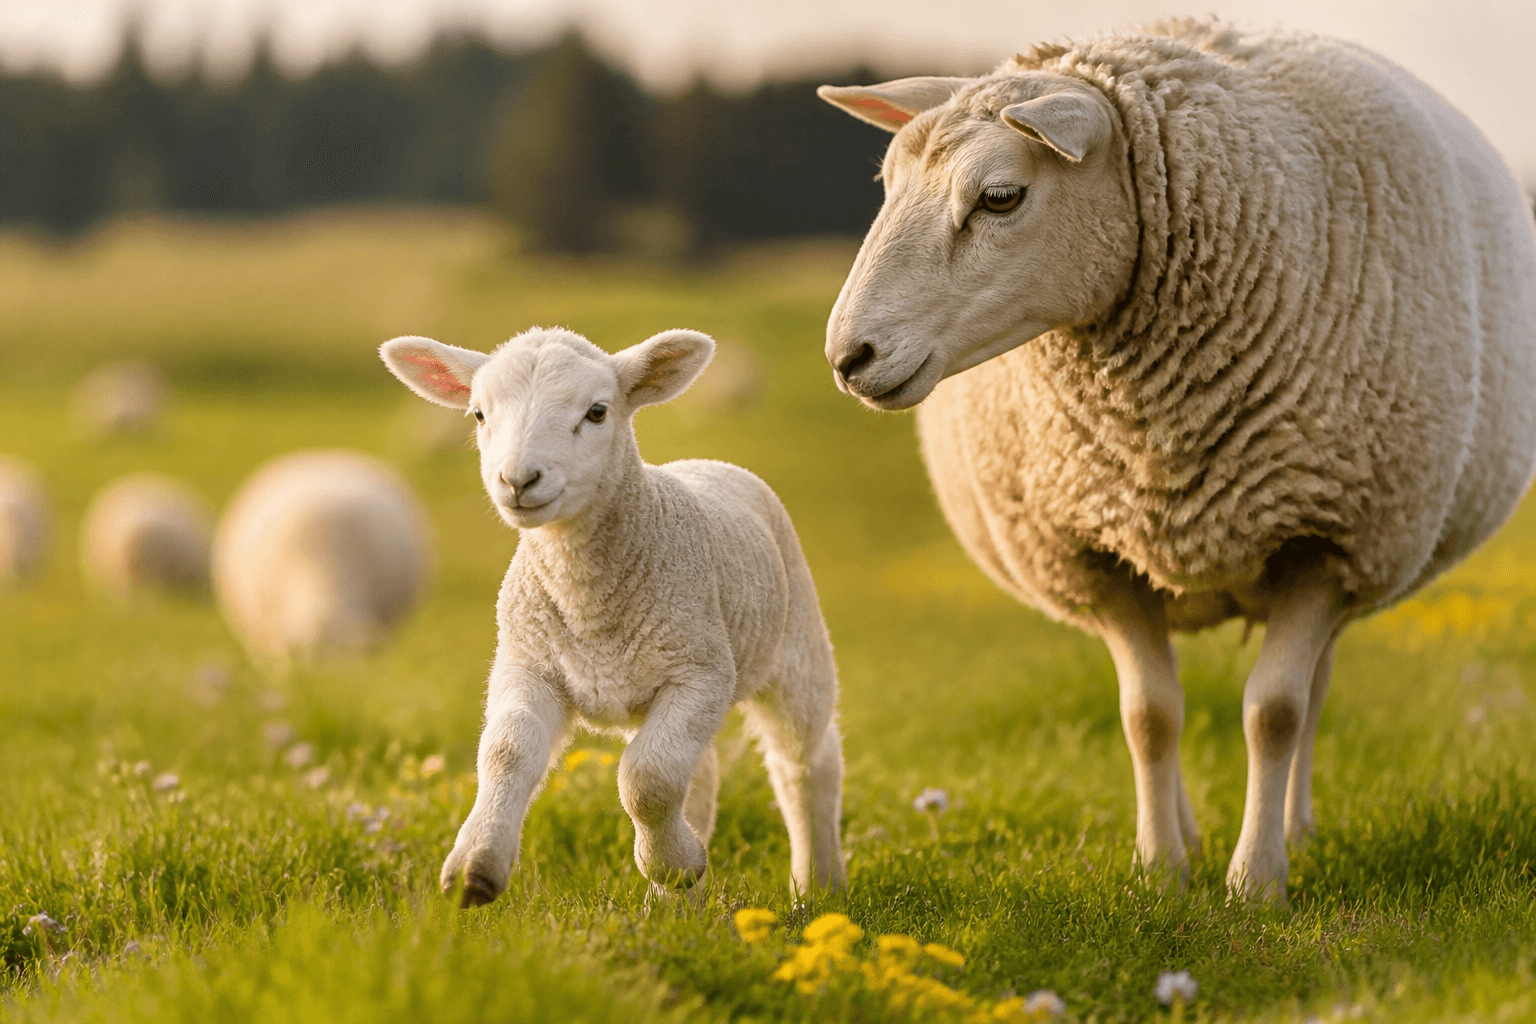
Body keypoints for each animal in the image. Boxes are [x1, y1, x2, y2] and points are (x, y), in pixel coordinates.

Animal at [380, 327, 845, 907]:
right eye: (479, 415)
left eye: (597, 412)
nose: (518, 480)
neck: (588, 604)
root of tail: (704, 463)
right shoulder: (528, 662)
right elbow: (507, 753)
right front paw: (476, 867)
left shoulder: (701, 671)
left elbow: (646, 781)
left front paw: (675, 865)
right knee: (701, 773)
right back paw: (675, 908)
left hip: (796, 646)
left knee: (804, 763)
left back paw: (818, 886)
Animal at [818, 20, 1536, 903]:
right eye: (886, 185)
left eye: (1000, 197)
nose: (849, 356)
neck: (1157, 434)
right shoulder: (1094, 547)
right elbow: (1149, 715)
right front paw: (1162, 871)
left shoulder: (1328, 540)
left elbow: (1275, 712)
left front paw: (1257, 881)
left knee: (1314, 690)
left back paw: (1296, 829)